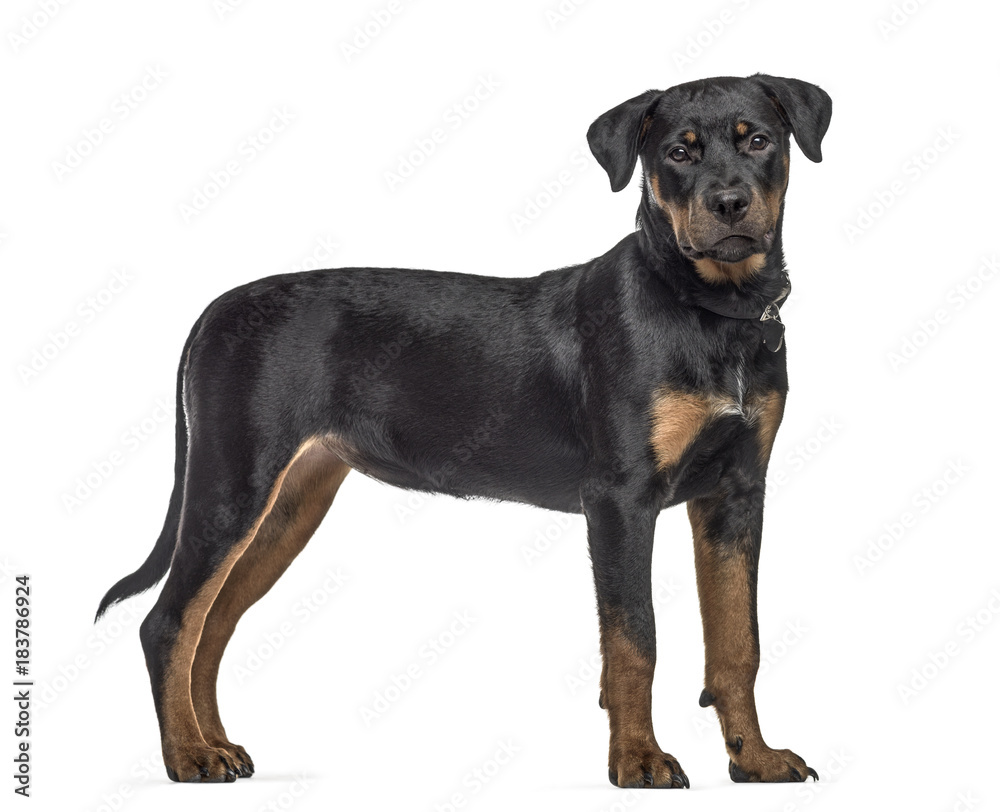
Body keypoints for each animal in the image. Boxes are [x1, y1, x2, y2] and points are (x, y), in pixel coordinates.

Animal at [95, 74, 828, 788]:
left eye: (758, 141)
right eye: (678, 153)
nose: (729, 203)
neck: (714, 311)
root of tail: (214, 311)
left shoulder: (735, 495)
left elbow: (738, 642)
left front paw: (756, 759)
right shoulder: (621, 498)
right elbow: (634, 640)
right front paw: (639, 762)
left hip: (288, 504)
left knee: (212, 625)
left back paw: (216, 745)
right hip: (233, 483)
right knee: (170, 623)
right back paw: (188, 757)